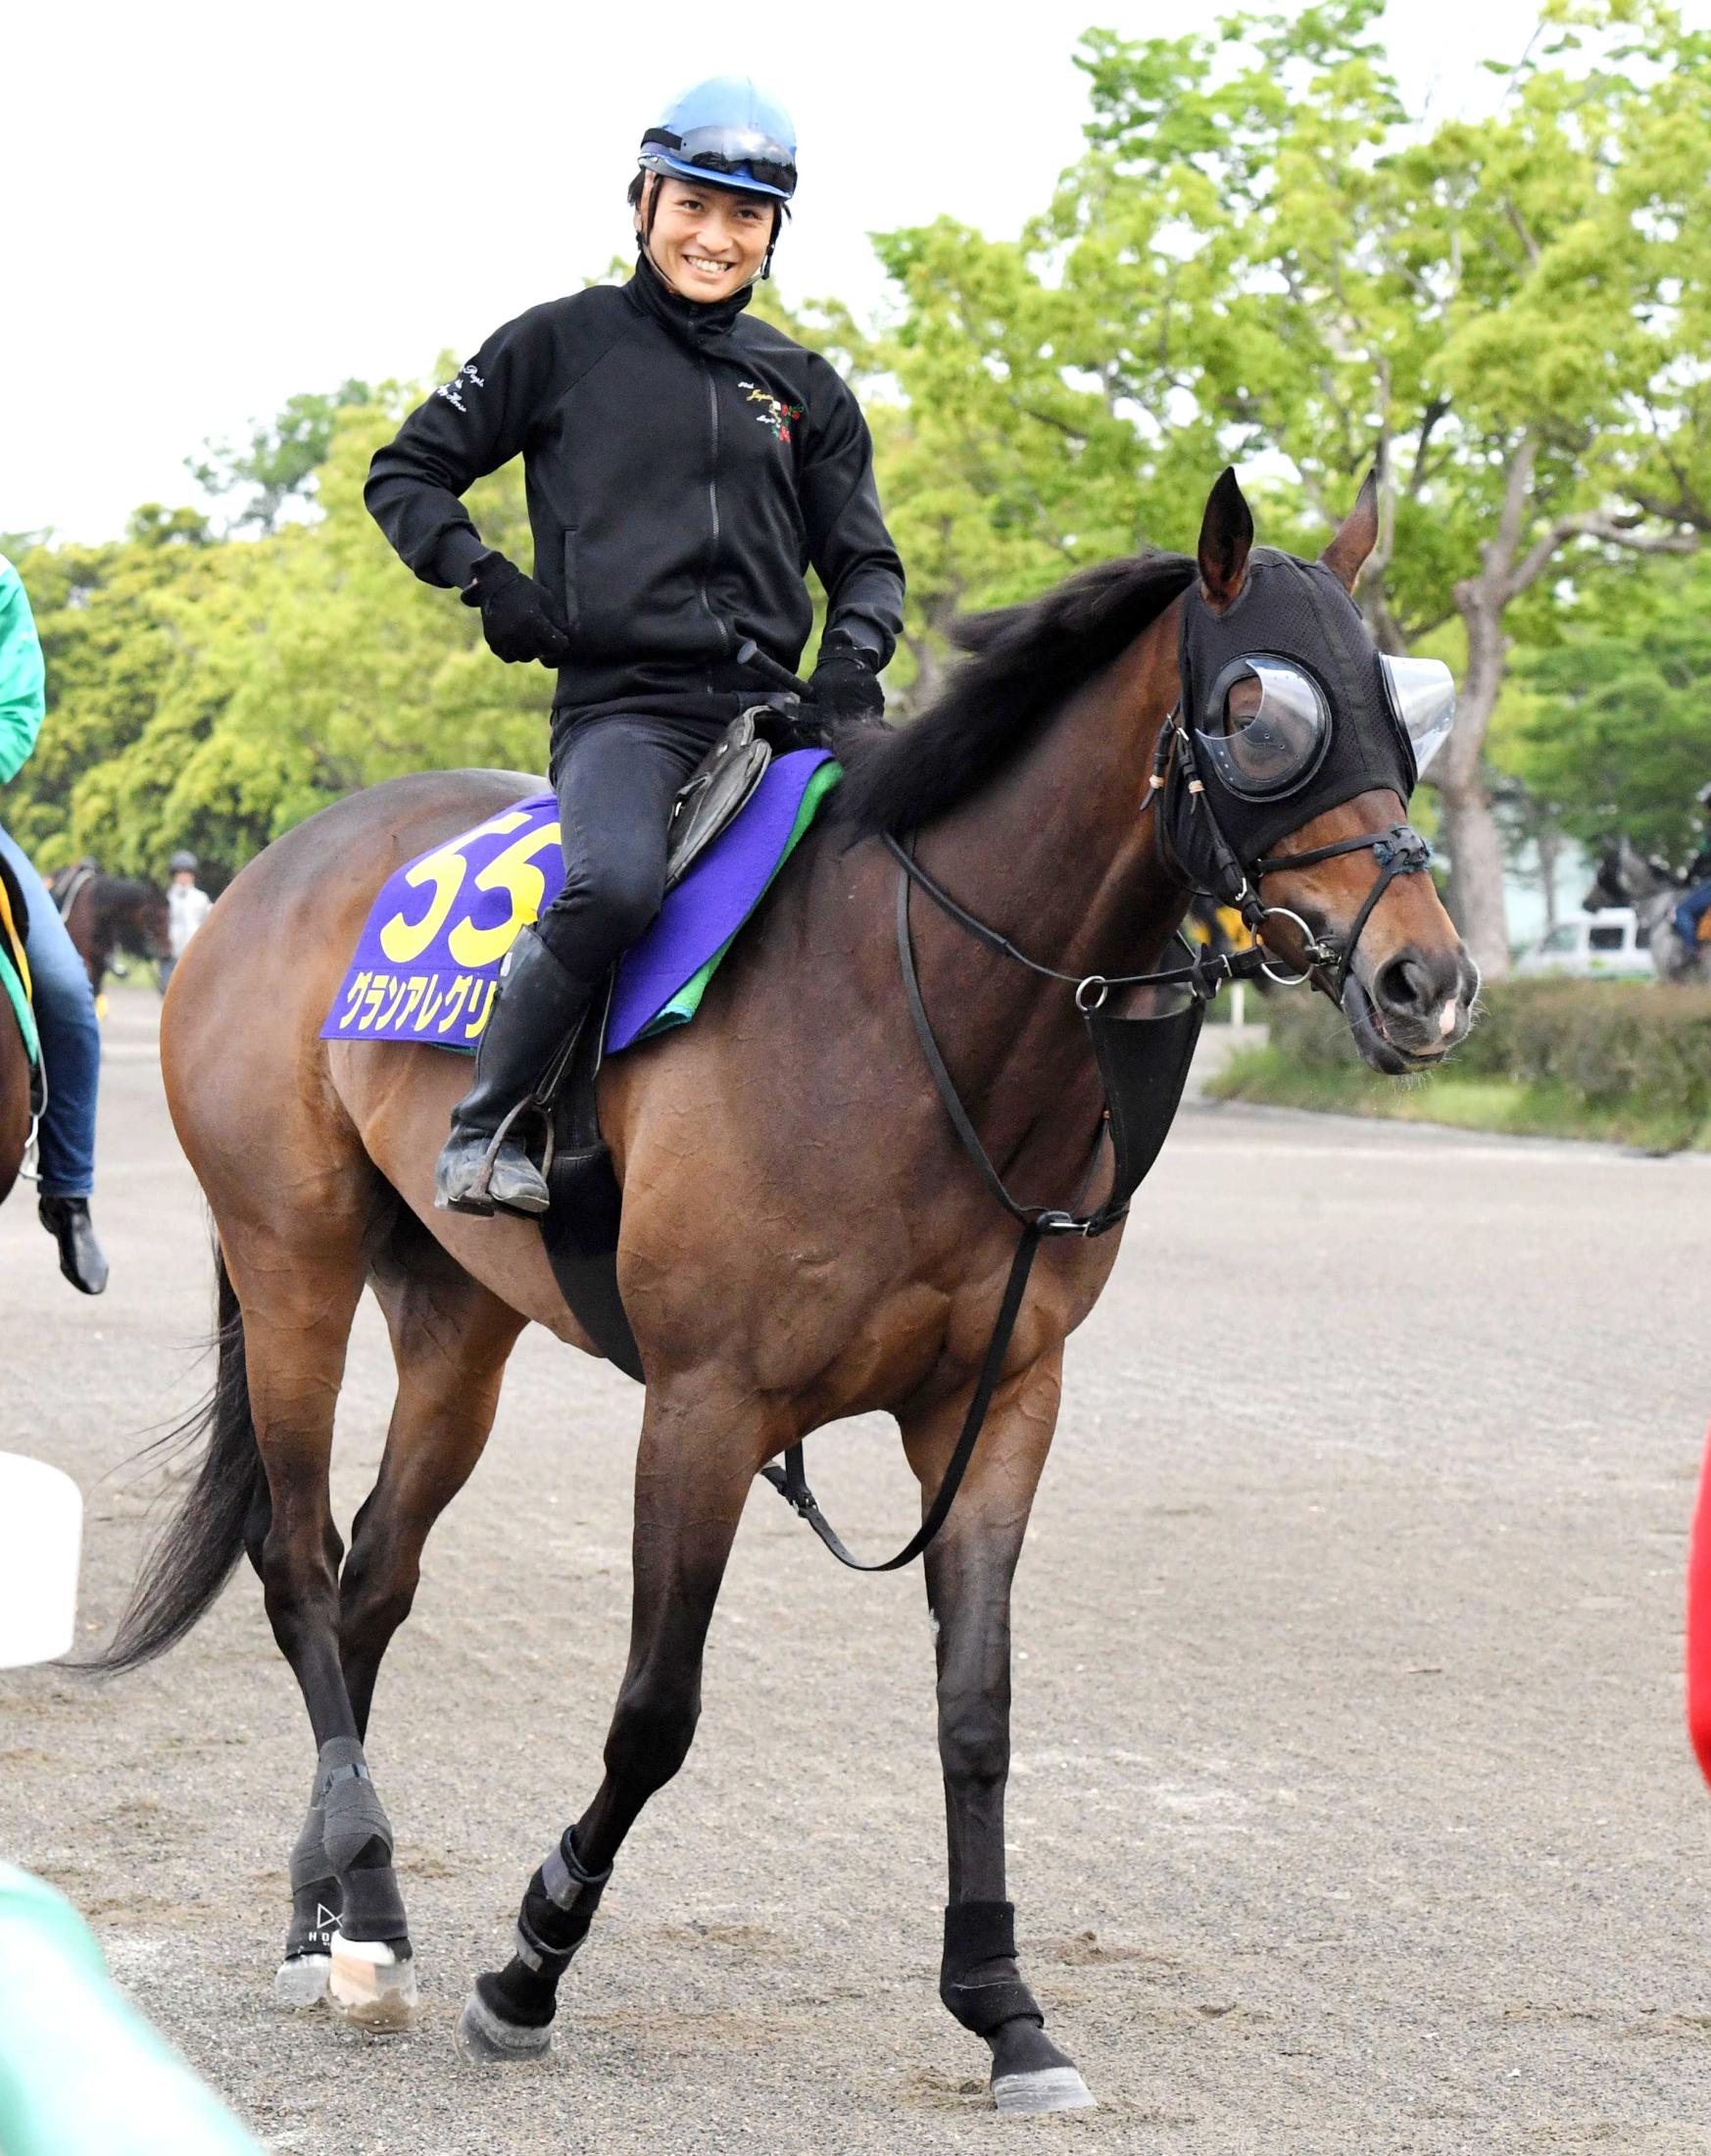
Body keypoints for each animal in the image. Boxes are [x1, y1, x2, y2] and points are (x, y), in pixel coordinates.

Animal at [106, 480, 1465, 2113]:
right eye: (1263, 716)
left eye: (1404, 705)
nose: (1423, 981)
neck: (915, 1003)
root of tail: (268, 873)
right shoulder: (707, 1405)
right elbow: (654, 1710)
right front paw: (530, 1962)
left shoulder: (995, 1402)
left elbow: (975, 1709)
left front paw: (1002, 2007)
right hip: (290, 1263)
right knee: (299, 1564)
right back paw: (361, 1908)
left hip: (457, 1324)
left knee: (373, 1579)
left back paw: (337, 1916)